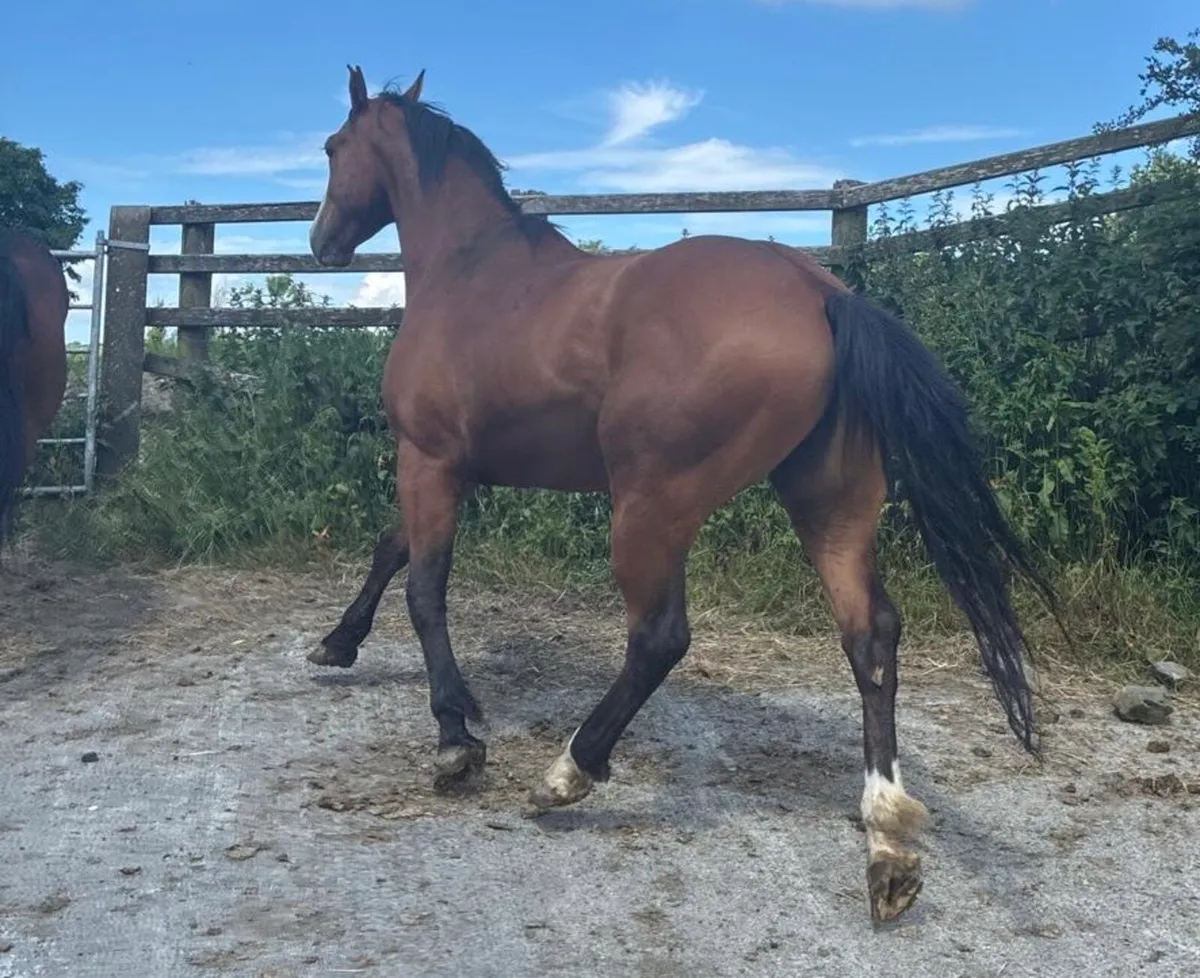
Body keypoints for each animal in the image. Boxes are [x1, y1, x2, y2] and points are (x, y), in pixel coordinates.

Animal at [307, 66, 1059, 923]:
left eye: (332, 145)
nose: (322, 242)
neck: (469, 273)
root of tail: (821, 293)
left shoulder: (427, 461)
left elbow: (426, 590)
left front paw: (454, 739)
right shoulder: (453, 470)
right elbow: (392, 551)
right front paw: (338, 643)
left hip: (651, 510)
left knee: (659, 639)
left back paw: (568, 773)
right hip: (831, 506)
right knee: (870, 635)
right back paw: (886, 846)